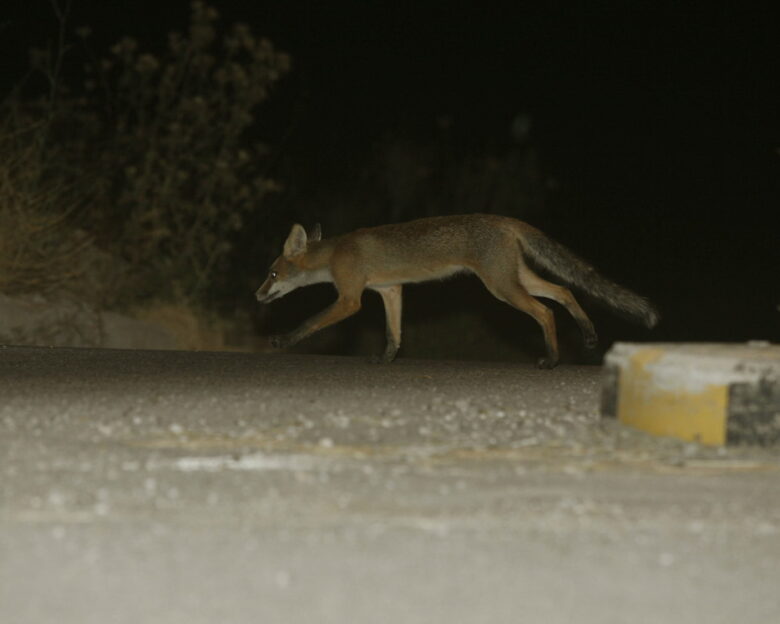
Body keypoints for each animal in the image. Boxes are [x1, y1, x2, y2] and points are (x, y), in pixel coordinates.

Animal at [256, 214, 660, 370]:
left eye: (272, 273)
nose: (258, 295)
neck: (336, 253)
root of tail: (505, 219)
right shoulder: (390, 290)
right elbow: (393, 334)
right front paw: (386, 359)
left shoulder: (350, 299)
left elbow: (310, 322)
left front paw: (282, 341)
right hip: (514, 279)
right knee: (563, 291)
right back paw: (588, 336)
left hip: (501, 288)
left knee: (545, 311)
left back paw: (551, 358)